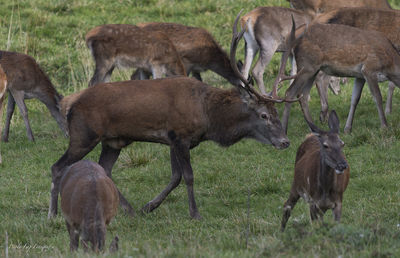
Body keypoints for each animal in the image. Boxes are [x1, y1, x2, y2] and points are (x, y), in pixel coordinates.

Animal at [48, 76, 292, 220]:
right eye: (264, 115)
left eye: (276, 113)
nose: (285, 141)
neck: (208, 117)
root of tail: (69, 104)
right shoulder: (179, 136)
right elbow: (188, 176)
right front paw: (195, 213)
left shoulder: (174, 141)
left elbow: (176, 176)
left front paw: (149, 206)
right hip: (84, 135)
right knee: (57, 166)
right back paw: (53, 213)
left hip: (112, 141)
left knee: (105, 169)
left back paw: (130, 210)